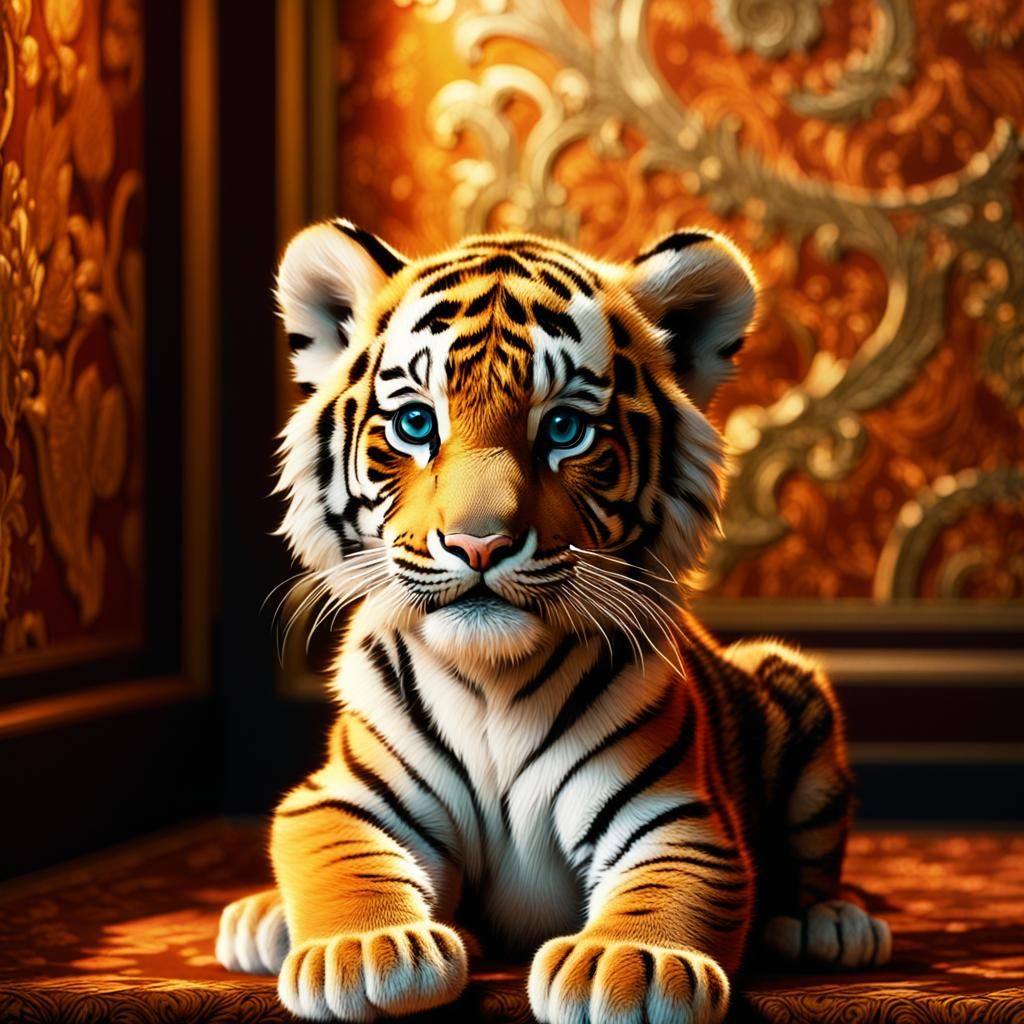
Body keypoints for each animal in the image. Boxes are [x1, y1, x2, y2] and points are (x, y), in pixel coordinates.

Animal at [215, 219, 891, 1023]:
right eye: (416, 422)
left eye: (565, 428)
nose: (479, 543)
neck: (491, 682)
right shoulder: (343, 793)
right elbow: (338, 854)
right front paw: (367, 949)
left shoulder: (674, 813)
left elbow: (669, 886)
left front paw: (631, 966)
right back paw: (263, 921)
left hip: (795, 692)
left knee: (816, 867)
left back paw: (831, 924)